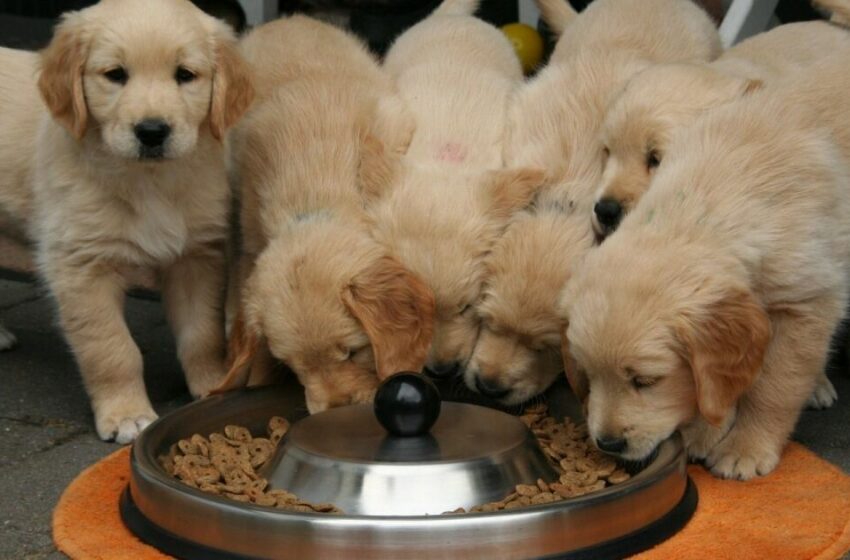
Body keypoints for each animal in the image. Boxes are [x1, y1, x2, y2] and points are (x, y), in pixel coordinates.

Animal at [3, 0, 253, 444]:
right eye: (115, 74)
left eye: (184, 75)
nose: (152, 131)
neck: (148, 181)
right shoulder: (81, 267)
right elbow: (112, 349)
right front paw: (126, 414)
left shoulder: (196, 256)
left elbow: (201, 334)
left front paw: (212, 385)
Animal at [215, 15, 434, 414]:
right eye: (291, 365)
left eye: (353, 352)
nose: (336, 408)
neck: (314, 201)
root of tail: (287, 19)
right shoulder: (251, 234)